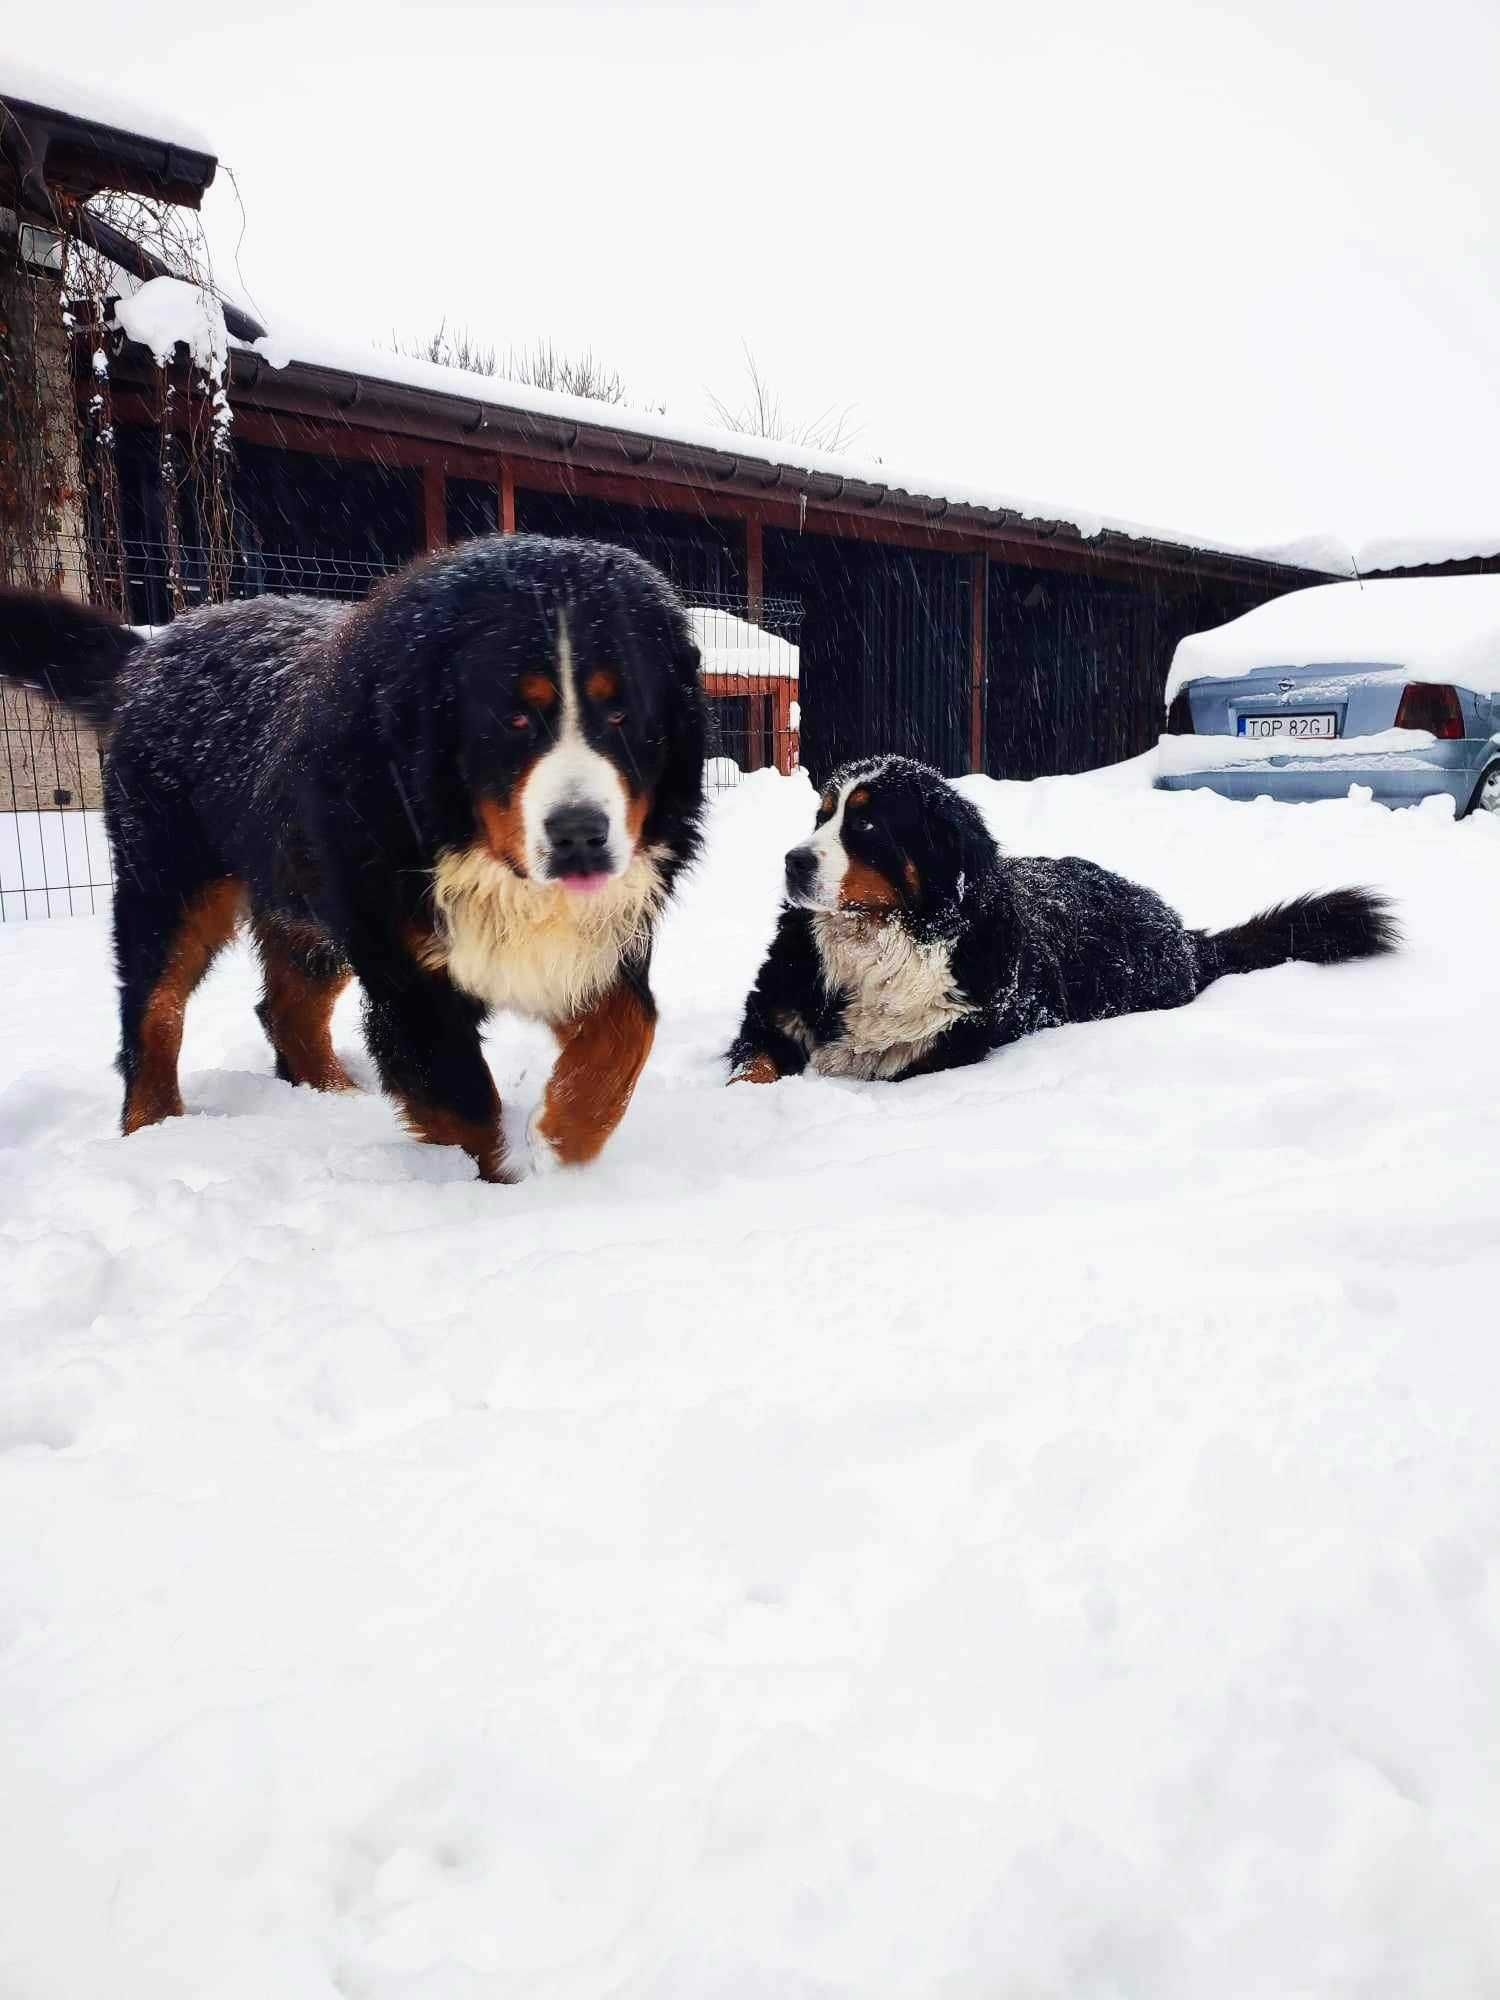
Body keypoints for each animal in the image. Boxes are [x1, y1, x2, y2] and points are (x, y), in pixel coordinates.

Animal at [2, 540, 708, 1176]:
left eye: (621, 713)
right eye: (512, 719)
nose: (579, 835)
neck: (471, 846)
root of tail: (156, 647)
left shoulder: (597, 942)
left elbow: (628, 1030)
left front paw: (565, 1137)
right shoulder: (410, 976)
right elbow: (463, 1104)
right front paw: (497, 1188)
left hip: (308, 912)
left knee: (286, 1010)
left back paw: (335, 1098)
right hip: (173, 887)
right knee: (153, 1014)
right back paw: (155, 1131)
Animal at [736, 756, 1408, 1088]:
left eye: (868, 824)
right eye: (821, 815)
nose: (793, 862)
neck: (880, 944)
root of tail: (1185, 935)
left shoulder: (937, 1050)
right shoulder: (767, 1018)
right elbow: (754, 1070)